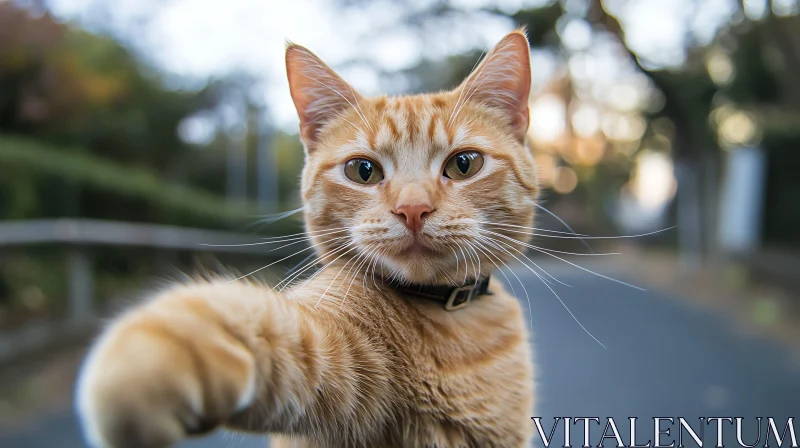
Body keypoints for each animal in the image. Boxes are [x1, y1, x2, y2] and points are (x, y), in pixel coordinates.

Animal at [75, 29, 540, 446]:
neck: (448, 319)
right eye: (362, 171)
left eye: (464, 164)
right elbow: (258, 324)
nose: (413, 209)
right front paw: (147, 361)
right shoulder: (330, 347)